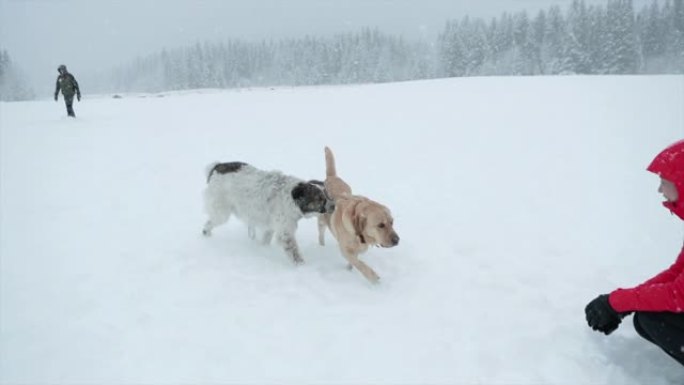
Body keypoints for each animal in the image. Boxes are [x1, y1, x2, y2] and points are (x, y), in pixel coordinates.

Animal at [200, 160, 334, 264]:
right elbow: (295, 254)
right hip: (221, 213)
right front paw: (302, 267)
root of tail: (217, 166)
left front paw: (263, 250)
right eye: (320, 199)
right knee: (208, 224)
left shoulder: (271, 227)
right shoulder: (285, 233)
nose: (334, 206)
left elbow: (266, 240)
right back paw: (207, 235)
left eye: (327, 194)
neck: (291, 198)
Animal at [320, 146, 398, 282]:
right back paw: (321, 247)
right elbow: (360, 264)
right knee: (321, 234)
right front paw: (373, 277)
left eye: (392, 222)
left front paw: (349, 270)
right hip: (322, 221)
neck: (359, 235)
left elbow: (354, 262)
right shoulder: (345, 250)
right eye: (380, 225)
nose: (397, 240)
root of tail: (332, 177)